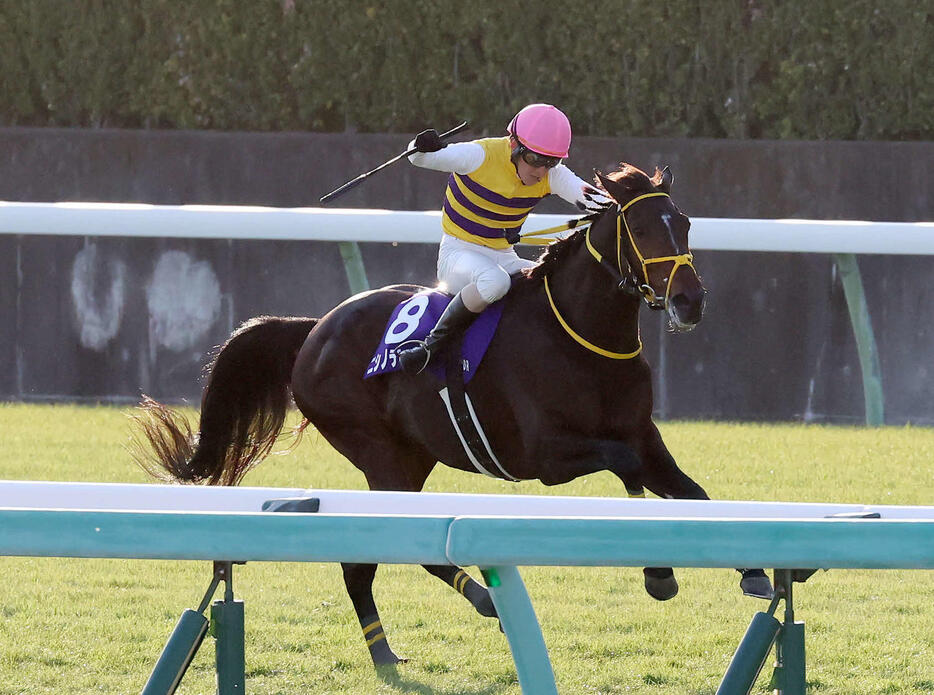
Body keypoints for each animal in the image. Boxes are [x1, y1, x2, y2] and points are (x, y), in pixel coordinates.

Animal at [133, 164, 776, 668]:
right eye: (640, 229)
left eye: (685, 224)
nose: (691, 301)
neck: (582, 336)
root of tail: (313, 327)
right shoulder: (546, 455)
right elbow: (628, 471)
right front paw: (659, 572)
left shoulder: (643, 434)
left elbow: (692, 493)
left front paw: (750, 570)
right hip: (381, 456)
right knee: (398, 547)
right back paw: (480, 599)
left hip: (411, 457)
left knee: (362, 562)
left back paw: (385, 651)